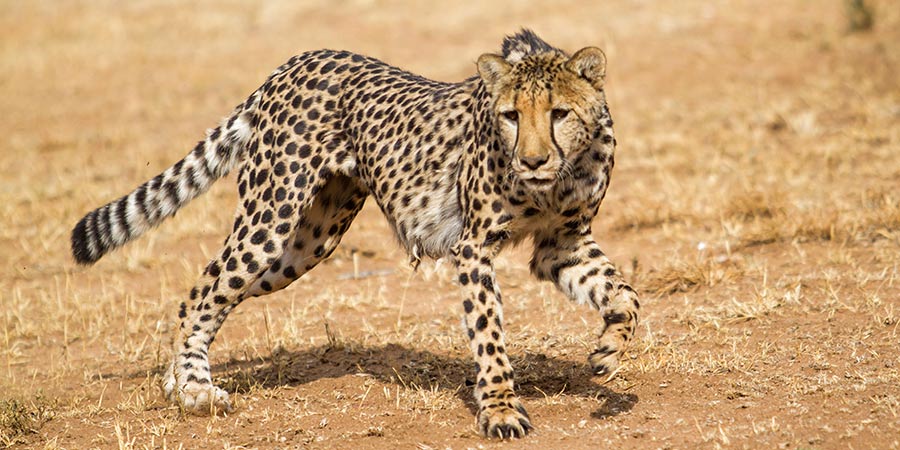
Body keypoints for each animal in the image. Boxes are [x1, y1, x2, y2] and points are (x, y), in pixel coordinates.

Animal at [70, 30, 639, 439]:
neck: (560, 175)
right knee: (206, 288)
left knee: (205, 290)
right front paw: (500, 410)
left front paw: (608, 350)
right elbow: (490, 335)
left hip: (304, 245)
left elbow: (627, 295)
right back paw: (194, 391)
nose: (532, 160)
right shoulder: (474, 246)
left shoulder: (560, 244)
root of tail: (294, 61)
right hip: (269, 220)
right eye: (511, 116)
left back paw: (176, 382)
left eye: (559, 113)